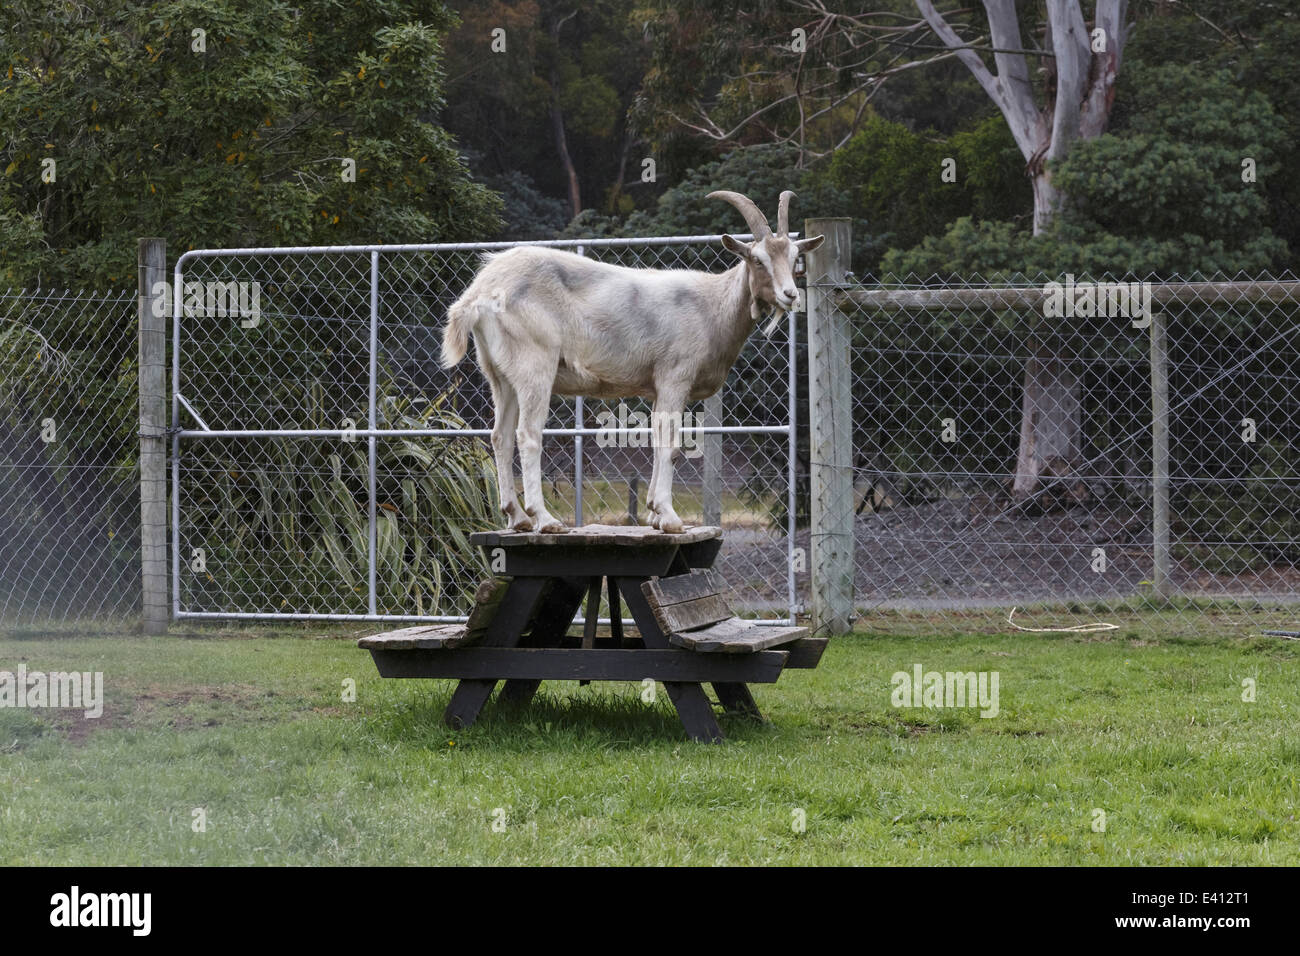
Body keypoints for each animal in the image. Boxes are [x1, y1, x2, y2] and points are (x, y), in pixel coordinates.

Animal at [436, 191, 821, 535]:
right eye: (757, 260)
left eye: (795, 258)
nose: (790, 295)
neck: (711, 305)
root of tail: (480, 291)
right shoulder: (674, 377)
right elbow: (670, 444)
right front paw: (668, 517)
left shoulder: (656, 388)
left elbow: (656, 438)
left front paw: (652, 512)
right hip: (535, 366)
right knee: (527, 434)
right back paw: (544, 519)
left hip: (499, 374)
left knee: (499, 435)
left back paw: (516, 517)